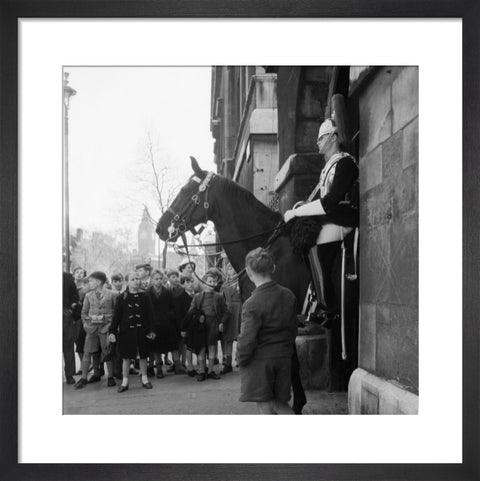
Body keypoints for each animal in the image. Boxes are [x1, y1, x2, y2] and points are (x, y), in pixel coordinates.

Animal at [156, 156, 310, 410]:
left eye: (186, 190)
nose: (160, 227)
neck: (270, 250)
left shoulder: (286, 317)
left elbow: (290, 360)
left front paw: (296, 403)